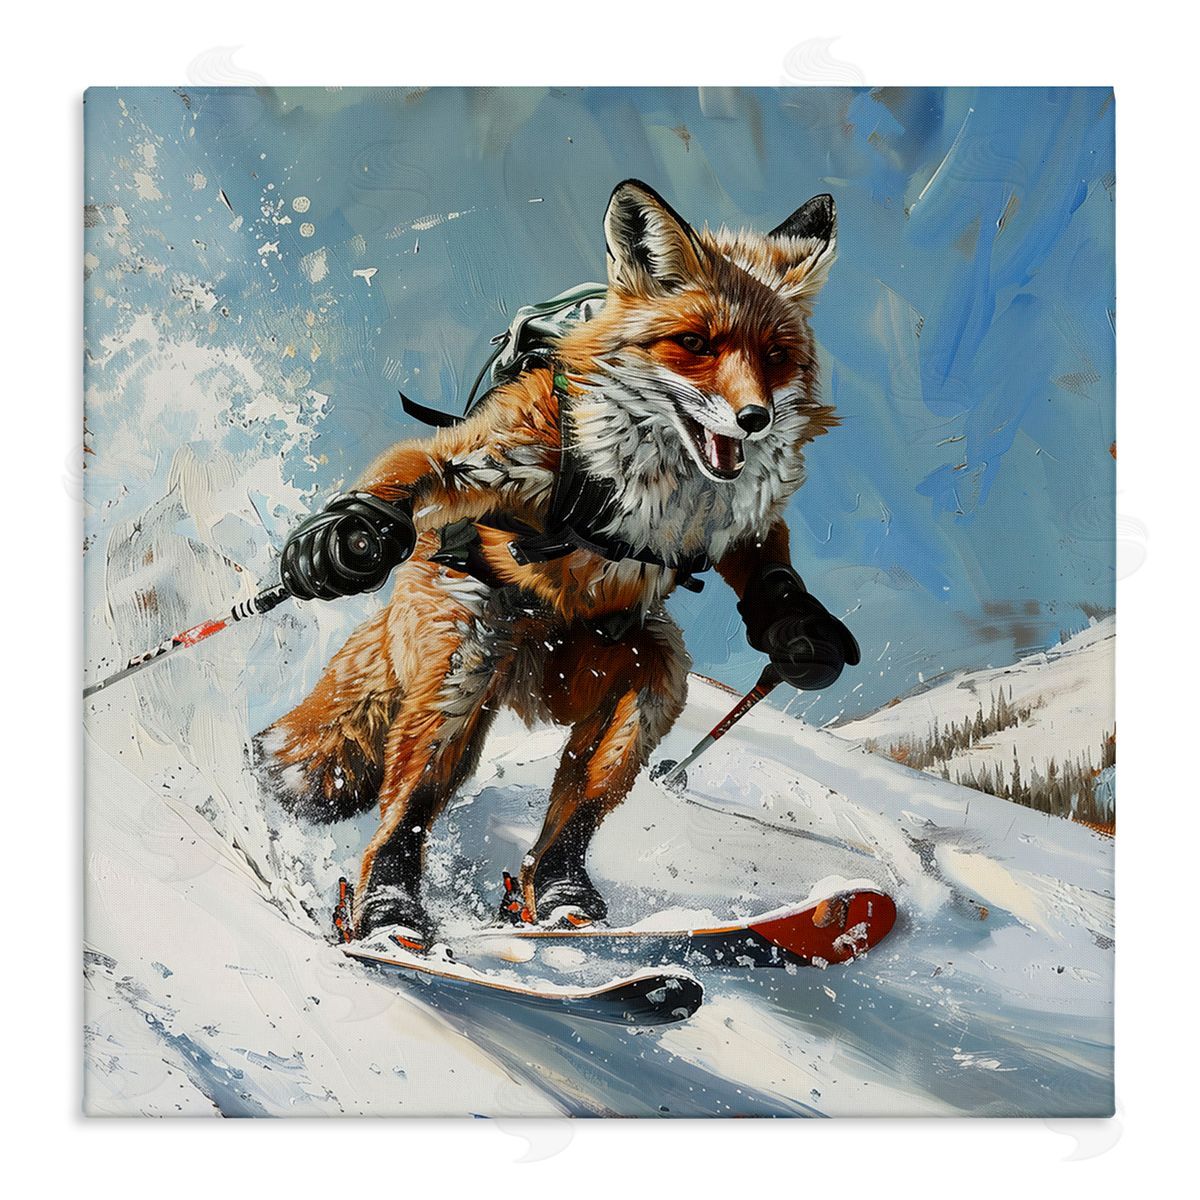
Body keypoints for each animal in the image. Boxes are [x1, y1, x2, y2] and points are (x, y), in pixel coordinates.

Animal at [255, 179, 860, 944]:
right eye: (694, 344)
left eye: (775, 355)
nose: (754, 419)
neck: (667, 486)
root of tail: (524, 668)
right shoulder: (522, 438)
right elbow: (427, 465)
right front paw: (343, 536)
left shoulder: (737, 527)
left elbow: (758, 559)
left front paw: (799, 633)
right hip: (466, 646)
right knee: (414, 794)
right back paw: (389, 910)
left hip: (628, 664)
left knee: (588, 784)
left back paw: (559, 896)